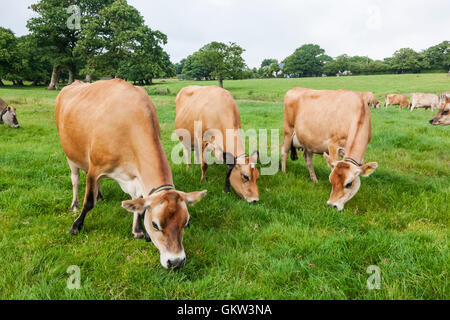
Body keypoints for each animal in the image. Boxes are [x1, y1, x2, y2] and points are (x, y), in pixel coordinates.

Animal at [55, 79, 207, 268]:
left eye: (186, 222)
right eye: (155, 225)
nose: (176, 261)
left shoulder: (136, 176)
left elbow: (137, 202)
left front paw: (138, 230)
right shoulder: (95, 168)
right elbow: (88, 202)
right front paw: (76, 226)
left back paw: (100, 195)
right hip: (70, 155)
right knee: (75, 179)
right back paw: (74, 204)